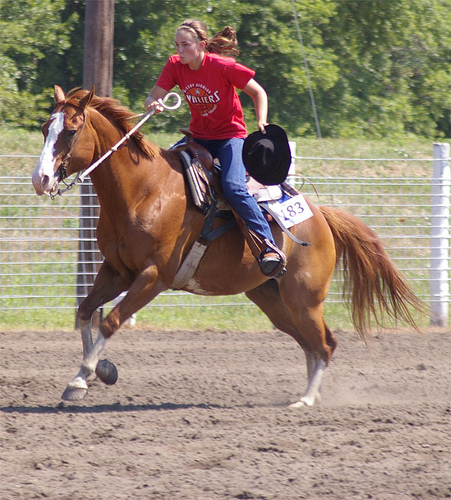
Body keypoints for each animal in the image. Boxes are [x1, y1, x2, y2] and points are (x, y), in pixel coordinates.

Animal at [31, 86, 425, 406]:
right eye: (45, 128)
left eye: (70, 130)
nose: (41, 179)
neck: (143, 189)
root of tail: (321, 217)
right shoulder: (116, 271)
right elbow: (86, 312)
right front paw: (91, 374)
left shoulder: (153, 277)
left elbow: (111, 321)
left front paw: (86, 375)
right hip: (272, 298)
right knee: (310, 343)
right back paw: (303, 394)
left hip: (304, 297)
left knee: (326, 344)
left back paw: (306, 400)